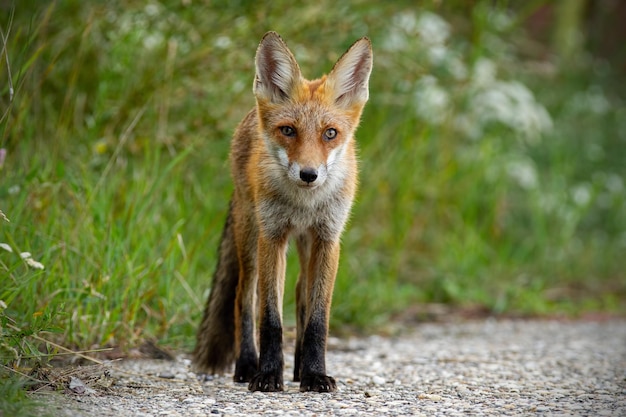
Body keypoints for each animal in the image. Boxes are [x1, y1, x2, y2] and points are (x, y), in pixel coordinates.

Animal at [193, 31, 370, 390]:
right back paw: (247, 364)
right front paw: (267, 374)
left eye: (330, 133)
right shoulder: (273, 236)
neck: (304, 205)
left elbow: (318, 318)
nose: (308, 174)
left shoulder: (328, 239)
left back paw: (301, 368)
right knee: (243, 298)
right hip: (250, 236)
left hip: (304, 245)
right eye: (288, 130)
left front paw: (315, 374)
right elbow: (270, 318)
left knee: (301, 295)